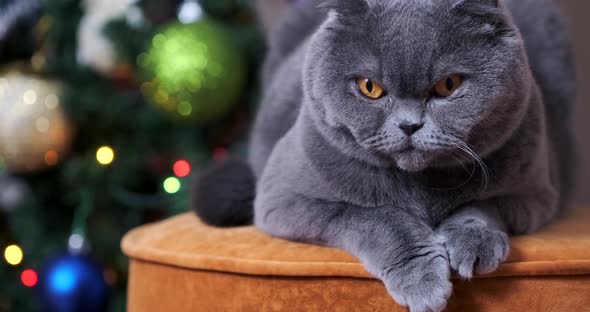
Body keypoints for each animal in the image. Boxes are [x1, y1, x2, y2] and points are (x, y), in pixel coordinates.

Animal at [194, 0, 580, 310]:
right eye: (370, 87)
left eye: (449, 85)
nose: (409, 125)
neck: (420, 186)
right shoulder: (282, 199)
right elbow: (375, 218)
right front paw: (422, 280)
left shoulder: (534, 194)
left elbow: (482, 205)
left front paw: (475, 244)